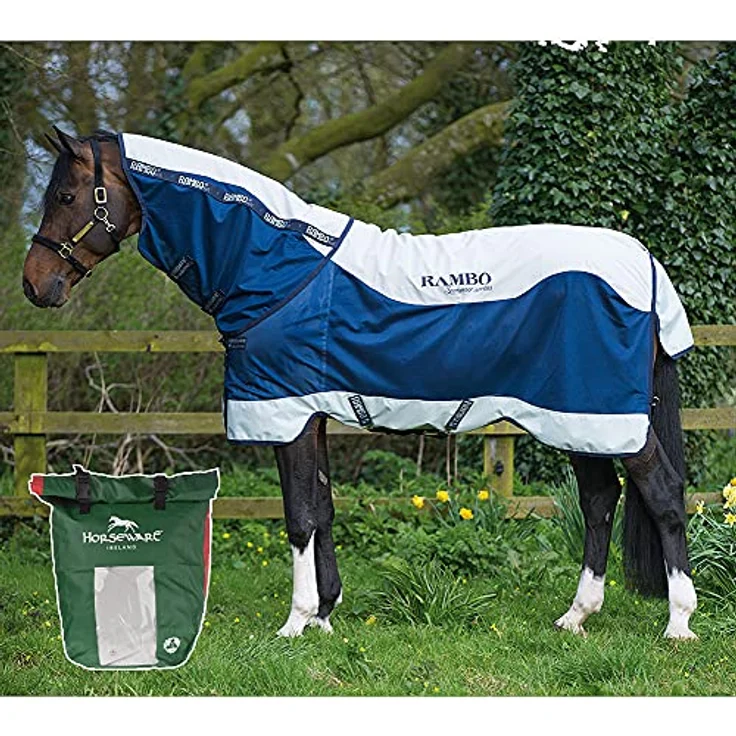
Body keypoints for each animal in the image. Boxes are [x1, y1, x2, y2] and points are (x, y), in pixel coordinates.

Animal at [22, 127, 698, 640]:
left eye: (66, 193)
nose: (34, 285)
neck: (278, 270)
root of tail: (644, 264)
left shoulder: (287, 415)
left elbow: (298, 516)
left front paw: (294, 624)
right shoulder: (311, 415)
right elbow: (322, 508)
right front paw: (324, 615)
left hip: (602, 417)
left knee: (662, 492)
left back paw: (678, 624)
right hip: (581, 419)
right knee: (600, 500)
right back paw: (576, 617)